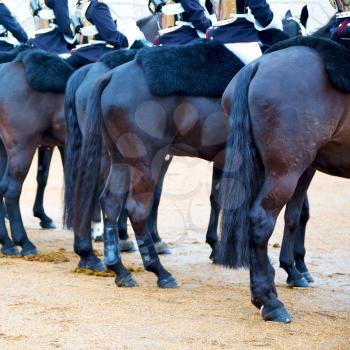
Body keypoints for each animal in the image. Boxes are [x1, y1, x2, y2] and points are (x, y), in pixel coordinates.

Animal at [220, 37, 350, 322]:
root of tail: (257, 65)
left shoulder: (308, 169)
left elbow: (295, 214)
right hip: (285, 171)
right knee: (260, 220)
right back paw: (270, 302)